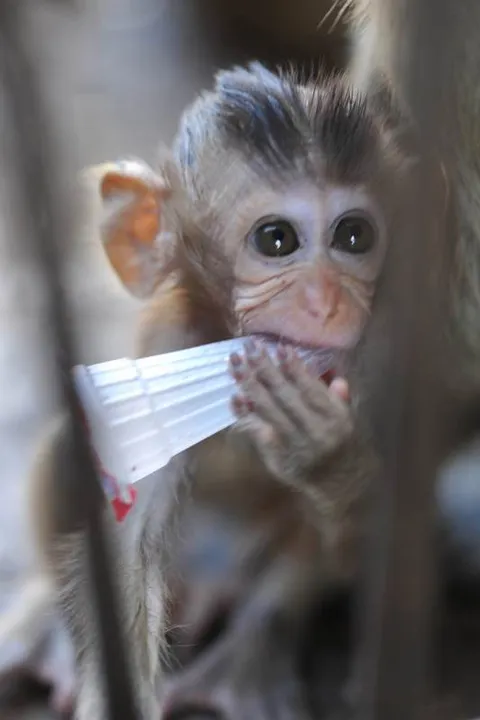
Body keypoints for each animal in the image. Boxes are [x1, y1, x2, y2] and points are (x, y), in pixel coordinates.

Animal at [25, 62, 410, 720]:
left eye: (354, 237)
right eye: (277, 240)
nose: (327, 302)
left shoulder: (380, 356)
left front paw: (325, 455)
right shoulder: (169, 340)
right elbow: (128, 547)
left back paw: (247, 661)